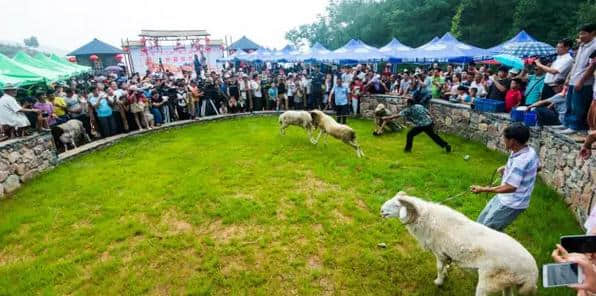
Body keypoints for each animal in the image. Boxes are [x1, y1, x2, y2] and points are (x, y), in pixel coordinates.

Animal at [382, 191, 540, 294]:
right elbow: (444, 267)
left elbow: (439, 267)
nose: (381, 211)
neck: (427, 219)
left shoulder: (439, 252)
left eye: (397, 205)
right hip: (506, 283)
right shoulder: (445, 254)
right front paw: (445, 275)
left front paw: (439, 281)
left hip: (489, 282)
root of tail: (532, 273)